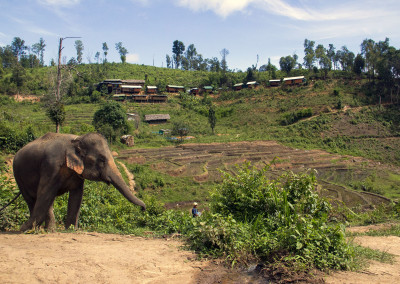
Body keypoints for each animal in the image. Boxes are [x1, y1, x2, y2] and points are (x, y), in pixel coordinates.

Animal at [13, 132, 146, 232]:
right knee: (34, 199)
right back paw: (34, 229)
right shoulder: (51, 166)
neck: (77, 139)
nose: (143, 209)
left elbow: (77, 195)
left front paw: (72, 230)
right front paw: (24, 228)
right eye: (102, 159)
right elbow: (44, 193)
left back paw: (44, 229)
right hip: (18, 176)